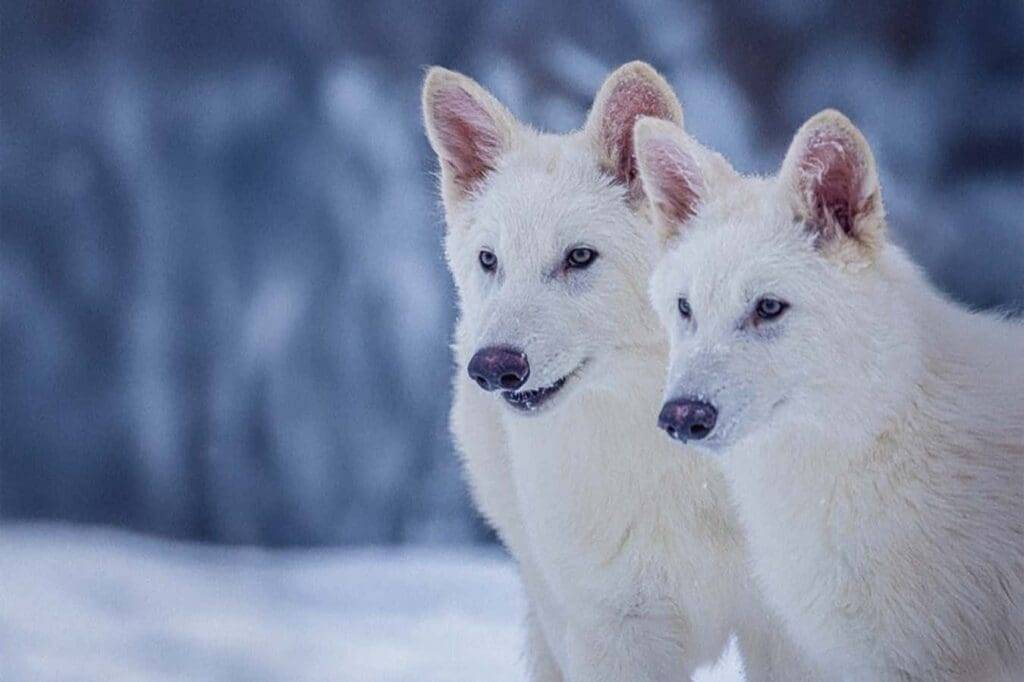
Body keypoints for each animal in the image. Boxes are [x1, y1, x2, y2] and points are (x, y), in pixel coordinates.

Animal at [421, 62, 815, 681]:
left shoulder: (787, 629)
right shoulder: (615, 632)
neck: (678, 466)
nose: (494, 367)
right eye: (490, 261)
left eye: (579, 257)